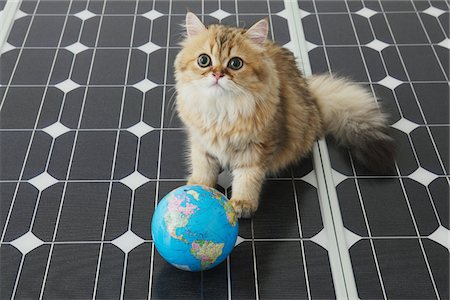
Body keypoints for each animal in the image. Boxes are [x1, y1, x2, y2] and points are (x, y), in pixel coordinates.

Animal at [174, 12, 396, 218]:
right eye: (204, 60)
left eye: (235, 64)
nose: (218, 75)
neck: (221, 110)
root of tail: (312, 98)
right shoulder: (201, 142)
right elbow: (203, 167)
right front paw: (198, 186)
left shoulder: (258, 149)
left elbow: (247, 177)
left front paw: (243, 203)